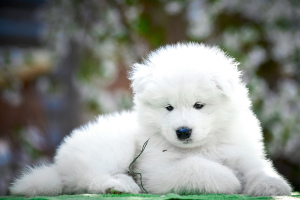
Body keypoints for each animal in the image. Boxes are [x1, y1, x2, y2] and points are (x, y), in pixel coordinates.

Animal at [11, 42, 290, 197]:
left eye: (199, 105)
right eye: (168, 107)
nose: (183, 131)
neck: (206, 144)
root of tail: (60, 165)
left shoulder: (244, 153)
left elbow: (258, 169)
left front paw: (273, 185)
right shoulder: (158, 171)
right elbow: (195, 166)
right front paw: (229, 180)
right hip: (114, 147)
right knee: (89, 179)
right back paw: (120, 185)